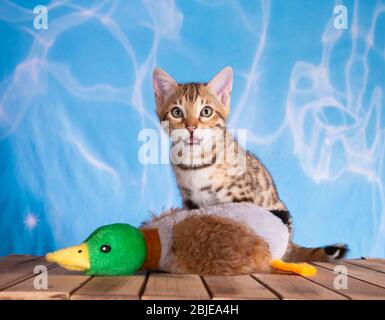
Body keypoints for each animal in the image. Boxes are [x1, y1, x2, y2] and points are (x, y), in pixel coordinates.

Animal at [152, 66, 346, 262]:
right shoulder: (189, 201)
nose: (191, 128)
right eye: (177, 112)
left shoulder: (241, 199)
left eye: (206, 111)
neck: (195, 162)